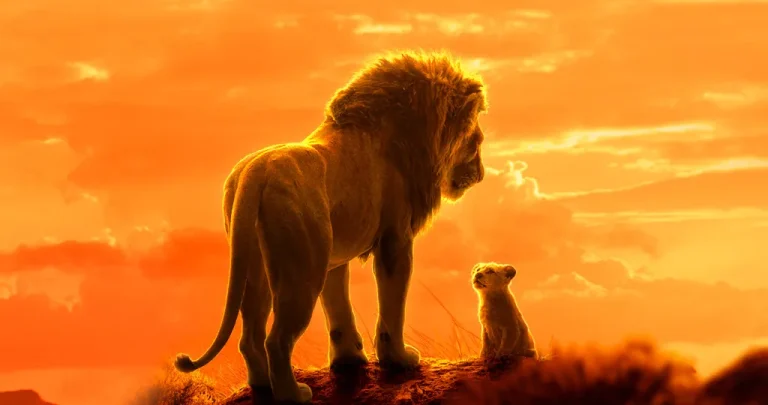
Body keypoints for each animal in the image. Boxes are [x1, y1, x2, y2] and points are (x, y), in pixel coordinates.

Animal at [173, 50, 488, 403]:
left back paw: (262, 385)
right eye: (476, 140)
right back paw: (293, 394)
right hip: (301, 271)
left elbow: (338, 309)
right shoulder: (395, 240)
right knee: (276, 340)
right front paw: (399, 359)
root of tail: (256, 172)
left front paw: (348, 359)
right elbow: (392, 305)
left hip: (256, 267)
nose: (481, 174)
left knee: (250, 336)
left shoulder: (333, 257)